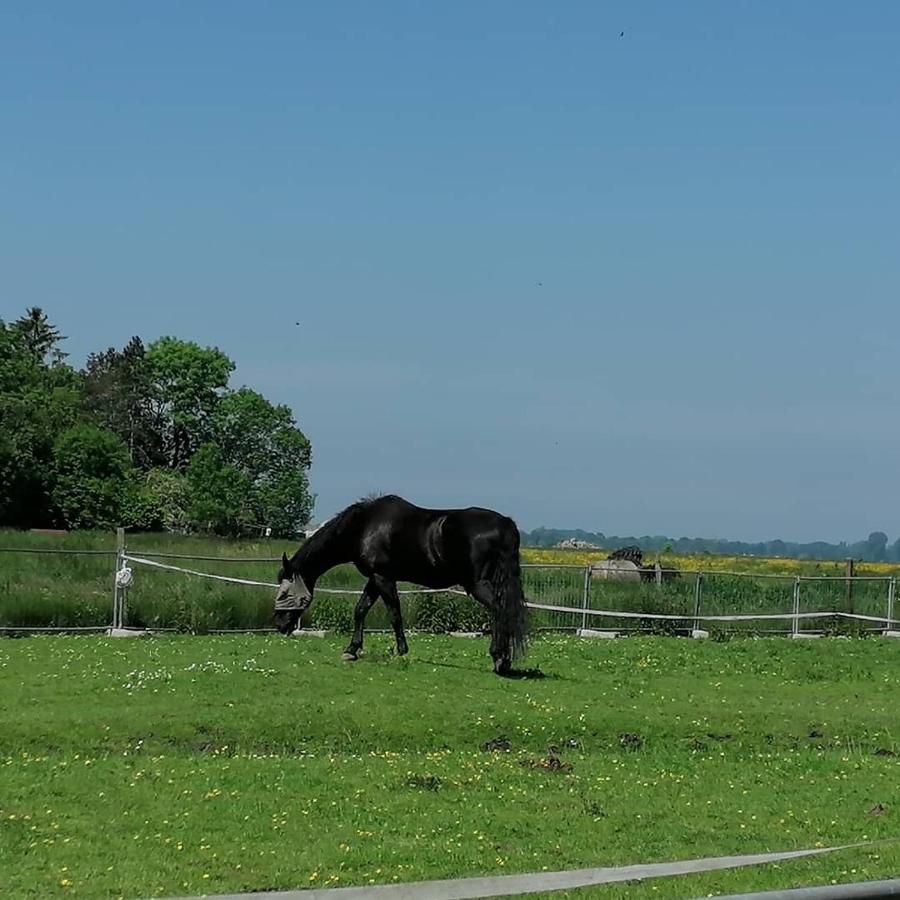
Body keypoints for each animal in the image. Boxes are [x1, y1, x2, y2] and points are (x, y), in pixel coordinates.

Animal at [274, 492, 528, 676]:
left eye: (285, 593)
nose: (279, 624)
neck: (364, 527)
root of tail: (505, 524)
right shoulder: (375, 579)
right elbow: (360, 610)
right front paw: (351, 650)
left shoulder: (384, 578)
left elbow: (394, 614)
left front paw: (402, 652)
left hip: (478, 585)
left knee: (499, 609)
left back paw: (499, 658)